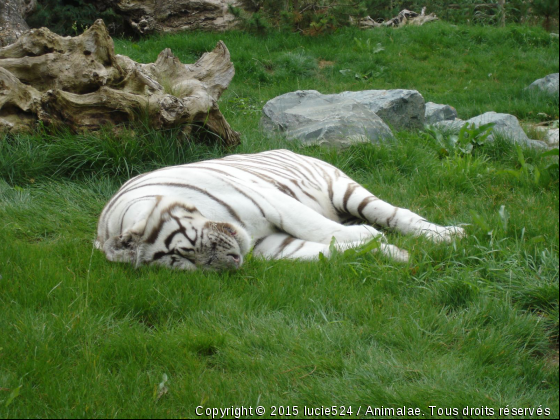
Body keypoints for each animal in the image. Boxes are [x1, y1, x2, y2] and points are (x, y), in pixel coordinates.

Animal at [95, 149, 464, 270]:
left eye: (186, 248)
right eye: (183, 266)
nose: (233, 263)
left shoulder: (271, 200)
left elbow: (321, 229)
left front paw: (370, 236)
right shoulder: (272, 246)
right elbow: (332, 249)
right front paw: (393, 254)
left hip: (346, 192)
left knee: (395, 214)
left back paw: (450, 235)